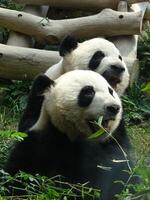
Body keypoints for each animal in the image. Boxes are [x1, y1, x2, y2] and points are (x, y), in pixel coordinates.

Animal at [5, 70, 136, 200]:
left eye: (111, 91)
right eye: (88, 92)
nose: (113, 107)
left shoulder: (114, 143)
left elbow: (121, 171)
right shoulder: (42, 143)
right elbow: (21, 173)